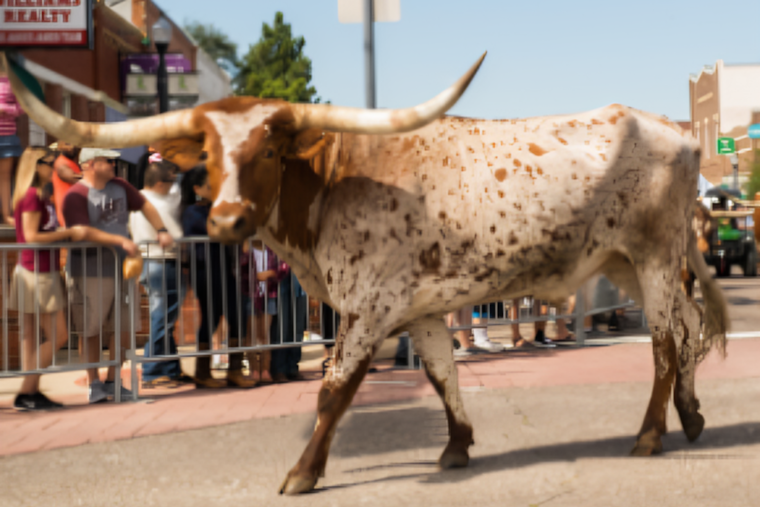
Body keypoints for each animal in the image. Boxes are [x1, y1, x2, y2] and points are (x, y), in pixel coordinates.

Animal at [3, 52, 728, 496]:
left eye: (270, 148)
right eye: (206, 152)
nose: (228, 220)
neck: (330, 182)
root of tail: (669, 128)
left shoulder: (367, 306)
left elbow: (333, 391)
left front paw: (302, 471)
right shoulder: (423, 308)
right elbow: (442, 374)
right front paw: (457, 446)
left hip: (654, 258)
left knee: (665, 344)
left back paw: (650, 434)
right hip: (626, 264)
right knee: (688, 328)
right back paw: (692, 415)